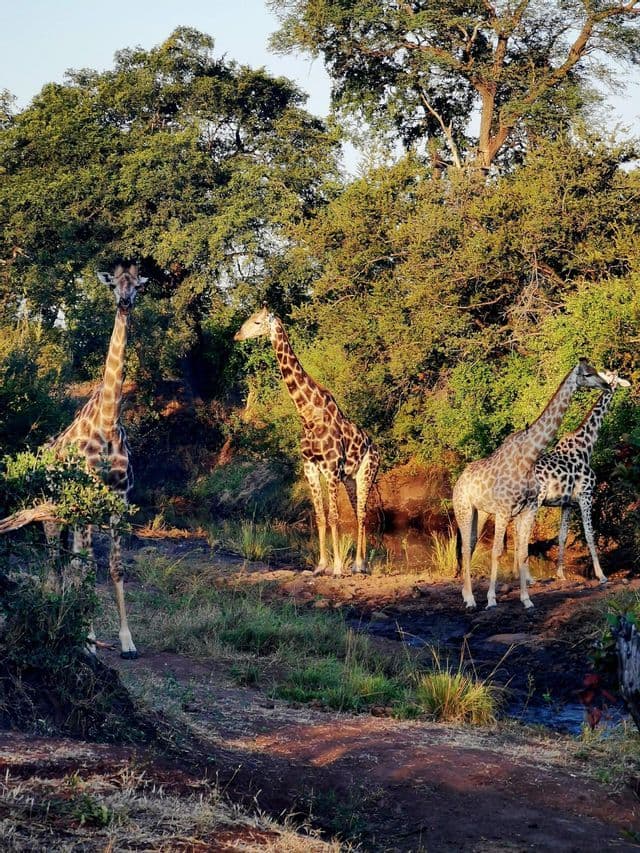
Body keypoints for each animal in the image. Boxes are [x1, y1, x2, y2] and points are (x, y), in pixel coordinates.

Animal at [0, 263, 146, 658]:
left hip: (70, 515)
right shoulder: (88, 499)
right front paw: (88, 640)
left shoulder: (118, 498)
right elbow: (86, 568)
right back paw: (56, 616)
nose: (124, 301)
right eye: (113, 284)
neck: (108, 422)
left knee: (66, 562)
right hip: (51, 515)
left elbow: (114, 567)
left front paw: (126, 642)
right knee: (56, 564)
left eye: (137, 285)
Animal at [234, 307, 380, 576]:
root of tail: (376, 448)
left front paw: (337, 568)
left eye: (257, 322)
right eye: (248, 319)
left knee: (363, 513)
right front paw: (321, 566)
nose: (237, 335)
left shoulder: (331, 469)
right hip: (351, 479)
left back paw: (359, 565)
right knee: (358, 513)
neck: (309, 416)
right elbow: (320, 516)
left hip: (367, 471)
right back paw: (359, 562)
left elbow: (333, 517)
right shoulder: (310, 467)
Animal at [452, 359, 609, 610]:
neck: (528, 457)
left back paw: (467, 595)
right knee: (467, 547)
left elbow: (524, 552)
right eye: (587, 374)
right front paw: (491, 599)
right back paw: (471, 600)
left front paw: (526, 599)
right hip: (463, 509)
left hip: (481, 512)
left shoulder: (526, 509)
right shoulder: (505, 510)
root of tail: (459, 480)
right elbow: (497, 552)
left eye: (596, 371)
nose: (605, 385)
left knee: (472, 545)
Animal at [520, 369, 631, 584]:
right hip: (534, 501)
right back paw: (528, 577)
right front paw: (602, 575)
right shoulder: (586, 496)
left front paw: (560, 574)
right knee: (523, 531)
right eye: (613, 378)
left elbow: (562, 535)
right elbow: (589, 534)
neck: (586, 446)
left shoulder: (567, 503)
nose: (610, 386)